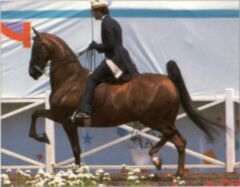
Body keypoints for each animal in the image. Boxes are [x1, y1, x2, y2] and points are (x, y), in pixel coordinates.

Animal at [28, 27, 221, 177]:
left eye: (36, 48)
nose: (32, 73)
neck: (69, 79)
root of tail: (168, 79)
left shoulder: (64, 119)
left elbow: (73, 146)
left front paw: (44, 139)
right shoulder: (62, 118)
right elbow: (37, 115)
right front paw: (43, 138)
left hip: (151, 119)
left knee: (170, 134)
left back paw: (156, 158)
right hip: (165, 118)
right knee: (179, 140)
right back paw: (178, 173)